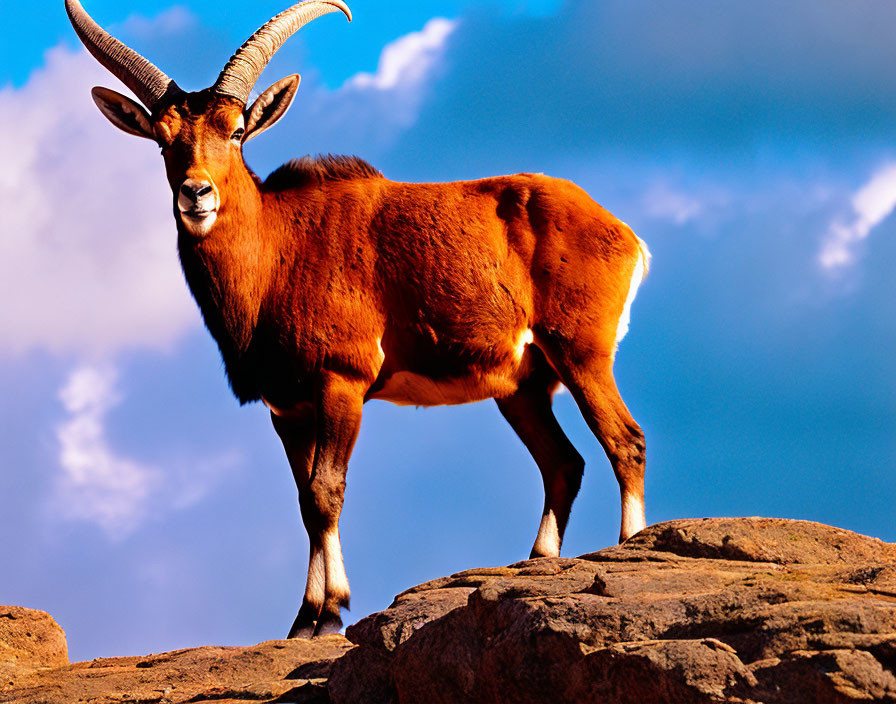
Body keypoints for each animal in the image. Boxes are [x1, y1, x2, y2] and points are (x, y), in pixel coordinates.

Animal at [65, 0, 652, 640]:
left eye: (237, 130)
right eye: (162, 139)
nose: (197, 195)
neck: (278, 248)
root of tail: (622, 233)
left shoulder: (341, 382)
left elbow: (327, 490)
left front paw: (327, 615)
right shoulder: (287, 407)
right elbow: (304, 501)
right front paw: (303, 620)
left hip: (581, 353)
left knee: (625, 440)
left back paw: (631, 546)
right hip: (523, 386)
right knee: (563, 462)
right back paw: (539, 558)